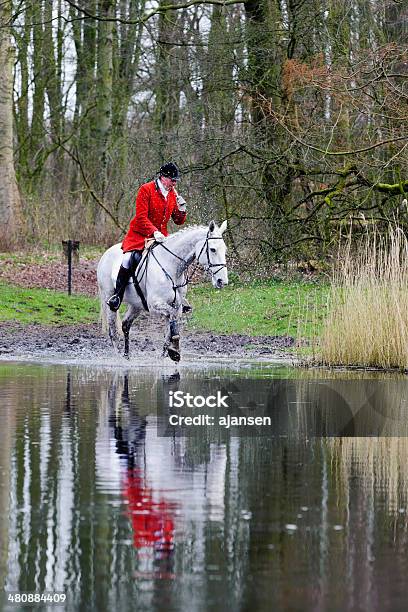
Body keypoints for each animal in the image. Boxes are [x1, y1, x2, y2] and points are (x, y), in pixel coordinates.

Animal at [97, 221, 228, 360]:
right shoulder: (155, 305)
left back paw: (127, 356)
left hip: (136, 305)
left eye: (224, 250)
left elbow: (171, 326)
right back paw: (119, 357)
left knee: (126, 325)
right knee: (113, 330)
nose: (222, 281)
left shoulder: (176, 306)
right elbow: (172, 320)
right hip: (109, 298)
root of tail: (106, 253)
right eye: (213, 249)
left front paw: (169, 353)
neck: (171, 266)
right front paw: (174, 349)